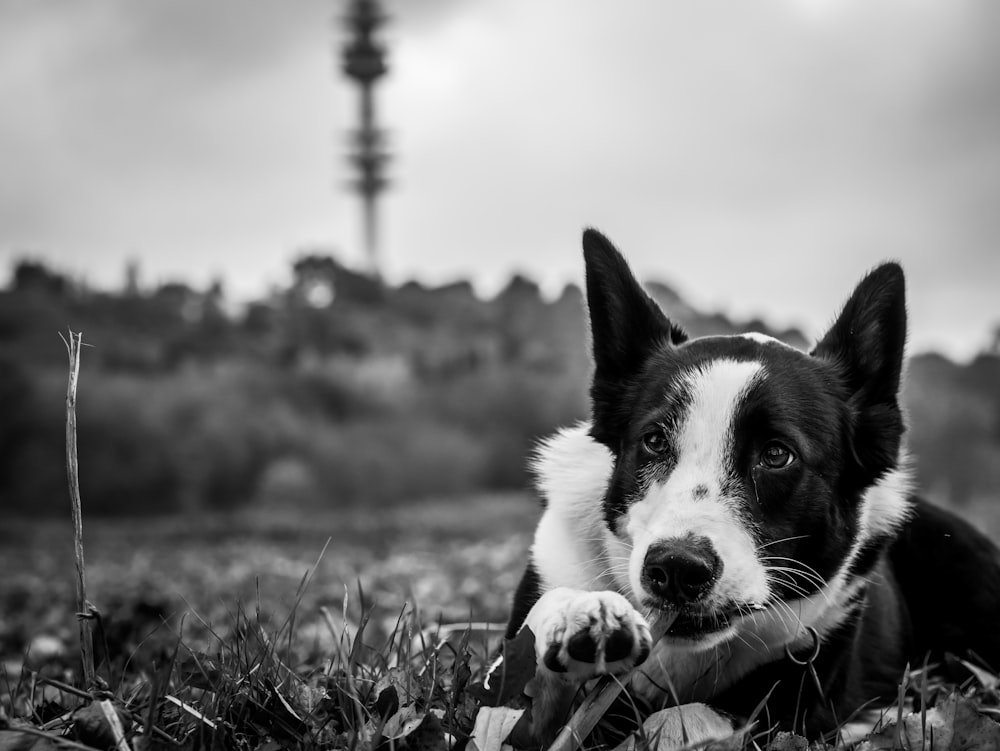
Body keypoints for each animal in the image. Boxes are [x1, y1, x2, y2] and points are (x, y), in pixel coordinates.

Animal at [504, 231, 1000, 748]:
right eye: (654, 440)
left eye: (777, 454)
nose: (676, 569)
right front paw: (580, 615)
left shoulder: (791, 703)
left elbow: (693, 717)